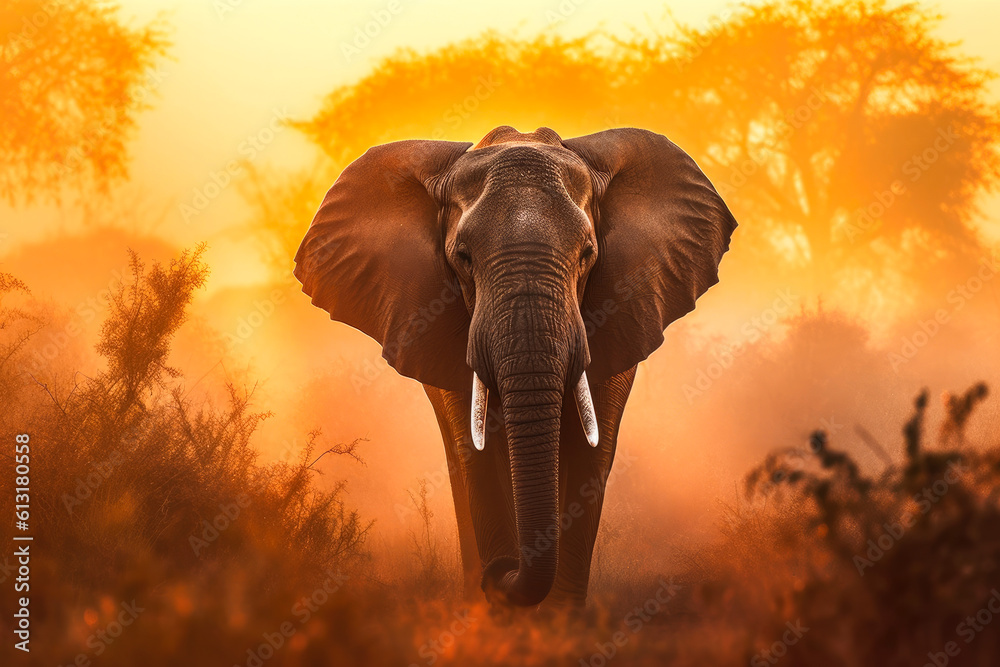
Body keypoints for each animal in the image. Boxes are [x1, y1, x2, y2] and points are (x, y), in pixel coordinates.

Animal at [293, 125, 737, 608]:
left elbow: (592, 452)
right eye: (463, 257)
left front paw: (559, 620)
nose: (499, 573)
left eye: (587, 254)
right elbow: (475, 452)